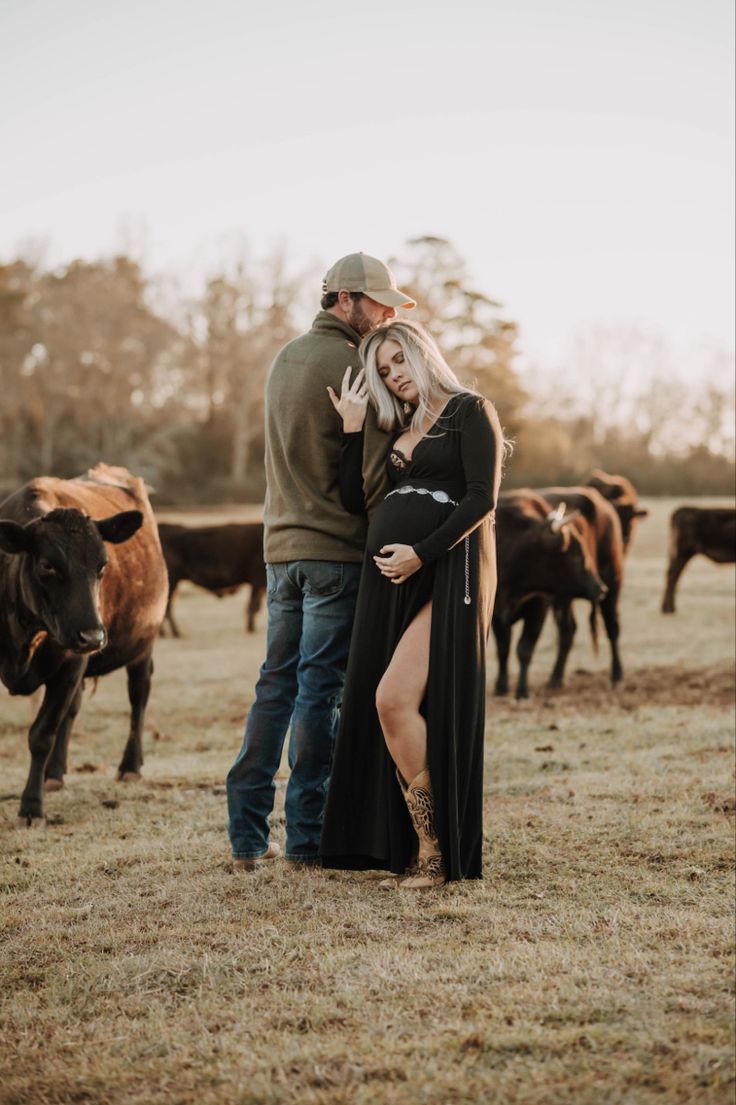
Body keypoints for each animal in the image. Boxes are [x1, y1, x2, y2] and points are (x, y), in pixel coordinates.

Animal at [0, 461, 167, 826]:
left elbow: (42, 735)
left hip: (143, 644)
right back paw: (55, 774)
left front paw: (31, 806)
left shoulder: (70, 664)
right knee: (74, 709)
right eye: (47, 565)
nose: (92, 636)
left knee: (139, 696)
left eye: (102, 565)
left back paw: (130, 766)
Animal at [490, 495, 605, 698]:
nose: (600, 588)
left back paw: (556, 679)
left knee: (568, 632)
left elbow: (524, 649)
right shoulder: (496, 612)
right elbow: (503, 649)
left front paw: (522, 691)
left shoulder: (538, 608)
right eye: (575, 554)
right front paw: (501, 687)